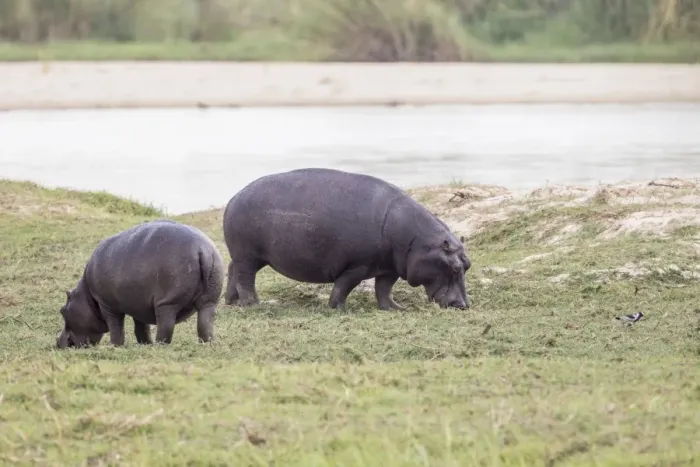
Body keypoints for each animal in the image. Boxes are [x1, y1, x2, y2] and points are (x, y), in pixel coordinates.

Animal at [56, 220, 224, 348]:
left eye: (62, 311)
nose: (57, 343)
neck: (86, 294)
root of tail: (203, 250)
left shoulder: (107, 305)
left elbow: (116, 326)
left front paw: (115, 346)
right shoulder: (139, 306)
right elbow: (141, 328)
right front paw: (145, 344)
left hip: (167, 302)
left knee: (166, 325)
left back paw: (159, 345)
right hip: (210, 300)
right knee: (205, 321)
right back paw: (207, 344)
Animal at [222, 168, 471, 310]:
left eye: (467, 265)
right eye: (456, 268)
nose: (464, 305)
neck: (418, 241)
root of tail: (233, 197)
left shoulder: (389, 268)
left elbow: (384, 289)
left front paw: (396, 308)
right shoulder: (357, 266)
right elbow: (344, 285)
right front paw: (339, 309)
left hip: (251, 257)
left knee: (233, 270)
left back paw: (232, 302)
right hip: (248, 256)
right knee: (246, 278)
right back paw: (253, 305)